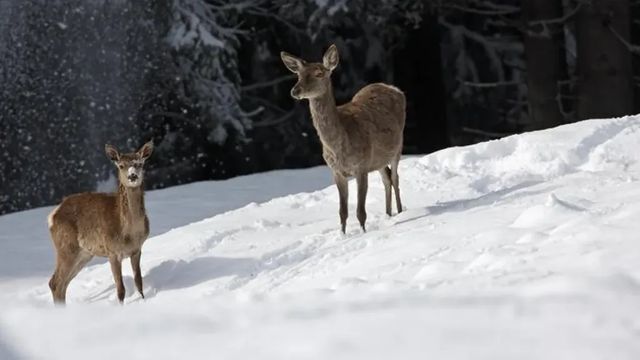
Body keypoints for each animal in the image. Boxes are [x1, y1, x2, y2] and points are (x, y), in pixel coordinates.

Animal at [47, 141, 154, 304]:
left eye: (139, 163)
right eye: (121, 165)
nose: (133, 176)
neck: (129, 233)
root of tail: (52, 216)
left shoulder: (137, 250)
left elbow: (139, 282)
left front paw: (144, 301)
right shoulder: (112, 252)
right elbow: (121, 290)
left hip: (84, 253)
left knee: (62, 284)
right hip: (66, 246)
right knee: (56, 282)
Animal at [284, 44, 408, 233]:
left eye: (319, 73)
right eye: (299, 74)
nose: (295, 91)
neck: (339, 146)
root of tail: (394, 88)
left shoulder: (361, 166)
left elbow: (360, 211)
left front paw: (363, 233)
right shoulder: (337, 172)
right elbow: (342, 212)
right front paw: (343, 235)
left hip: (398, 145)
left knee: (395, 177)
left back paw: (400, 212)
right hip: (378, 158)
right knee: (386, 178)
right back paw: (388, 214)